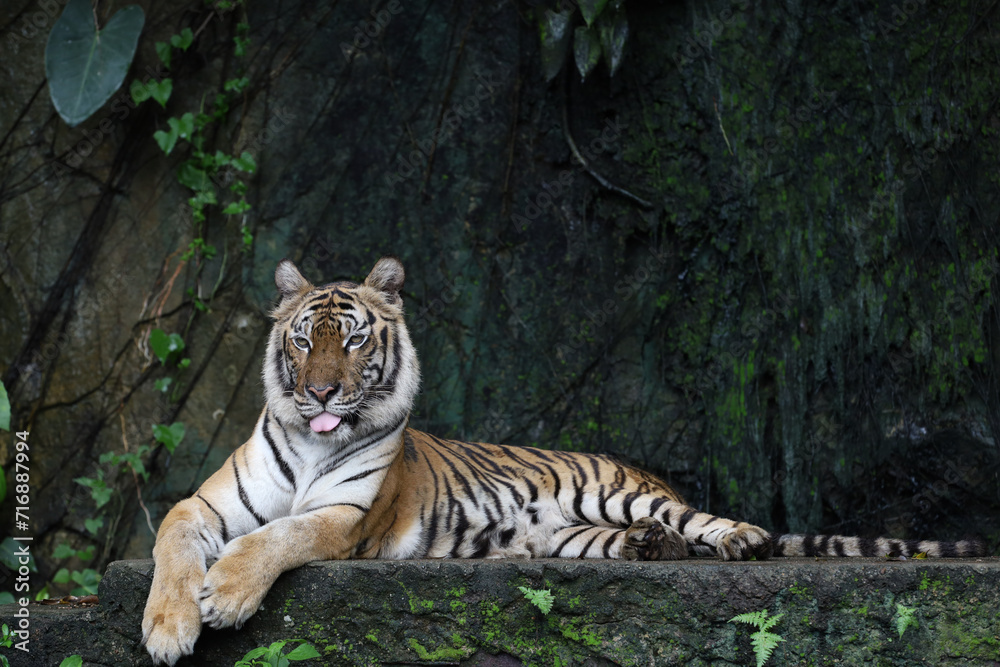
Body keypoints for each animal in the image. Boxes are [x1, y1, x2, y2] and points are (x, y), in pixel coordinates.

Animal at [141, 256, 984, 665]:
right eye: (300, 339)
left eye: (351, 340)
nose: (319, 390)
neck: (317, 440)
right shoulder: (205, 504)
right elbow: (173, 541)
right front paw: (168, 627)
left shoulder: (344, 518)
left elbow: (277, 536)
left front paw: (227, 596)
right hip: (569, 535)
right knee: (639, 539)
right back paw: (653, 550)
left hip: (621, 494)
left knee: (705, 518)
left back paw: (737, 538)